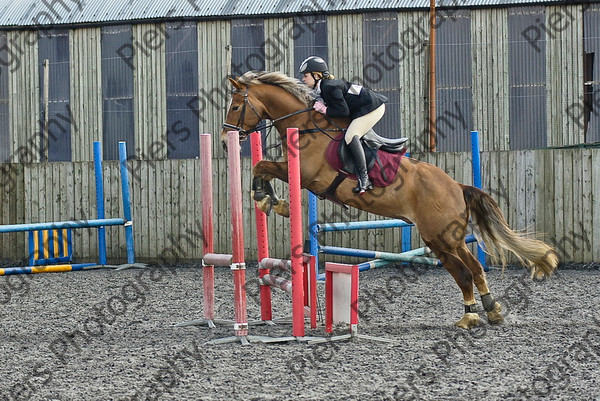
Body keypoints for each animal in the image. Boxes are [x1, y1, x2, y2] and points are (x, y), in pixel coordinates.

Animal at [220, 71, 556, 328]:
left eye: (235, 106)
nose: (224, 141)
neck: (304, 127)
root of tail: (456, 186)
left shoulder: (305, 175)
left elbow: (262, 166)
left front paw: (268, 200)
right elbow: (262, 167)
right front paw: (271, 200)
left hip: (438, 237)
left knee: (462, 273)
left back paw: (469, 318)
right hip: (453, 238)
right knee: (474, 268)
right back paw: (491, 310)